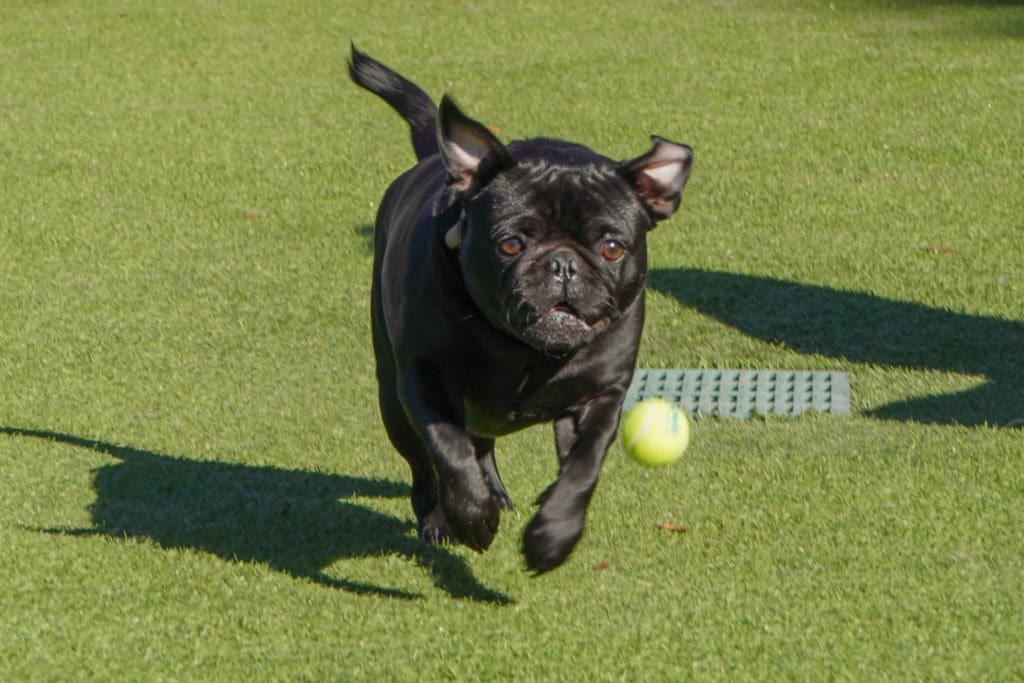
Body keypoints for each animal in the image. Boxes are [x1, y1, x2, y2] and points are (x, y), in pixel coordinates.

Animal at [348, 45, 692, 573]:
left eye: (613, 247)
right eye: (510, 243)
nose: (563, 263)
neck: (523, 352)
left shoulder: (602, 397)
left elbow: (583, 469)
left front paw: (553, 535)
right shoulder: (423, 381)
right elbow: (447, 450)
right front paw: (472, 517)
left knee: (483, 442)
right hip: (392, 397)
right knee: (426, 465)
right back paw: (440, 518)